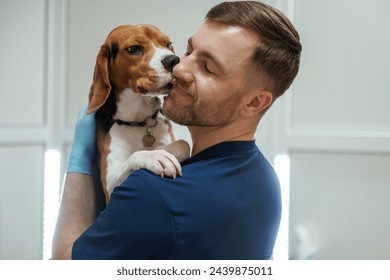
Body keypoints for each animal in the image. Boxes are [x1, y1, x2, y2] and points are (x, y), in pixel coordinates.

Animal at [86, 23, 189, 199]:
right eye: (134, 49)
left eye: (168, 44)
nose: (174, 60)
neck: (139, 121)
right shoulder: (109, 185)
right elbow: (135, 155)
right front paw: (155, 154)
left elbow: (184, 143)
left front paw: (160, 149)